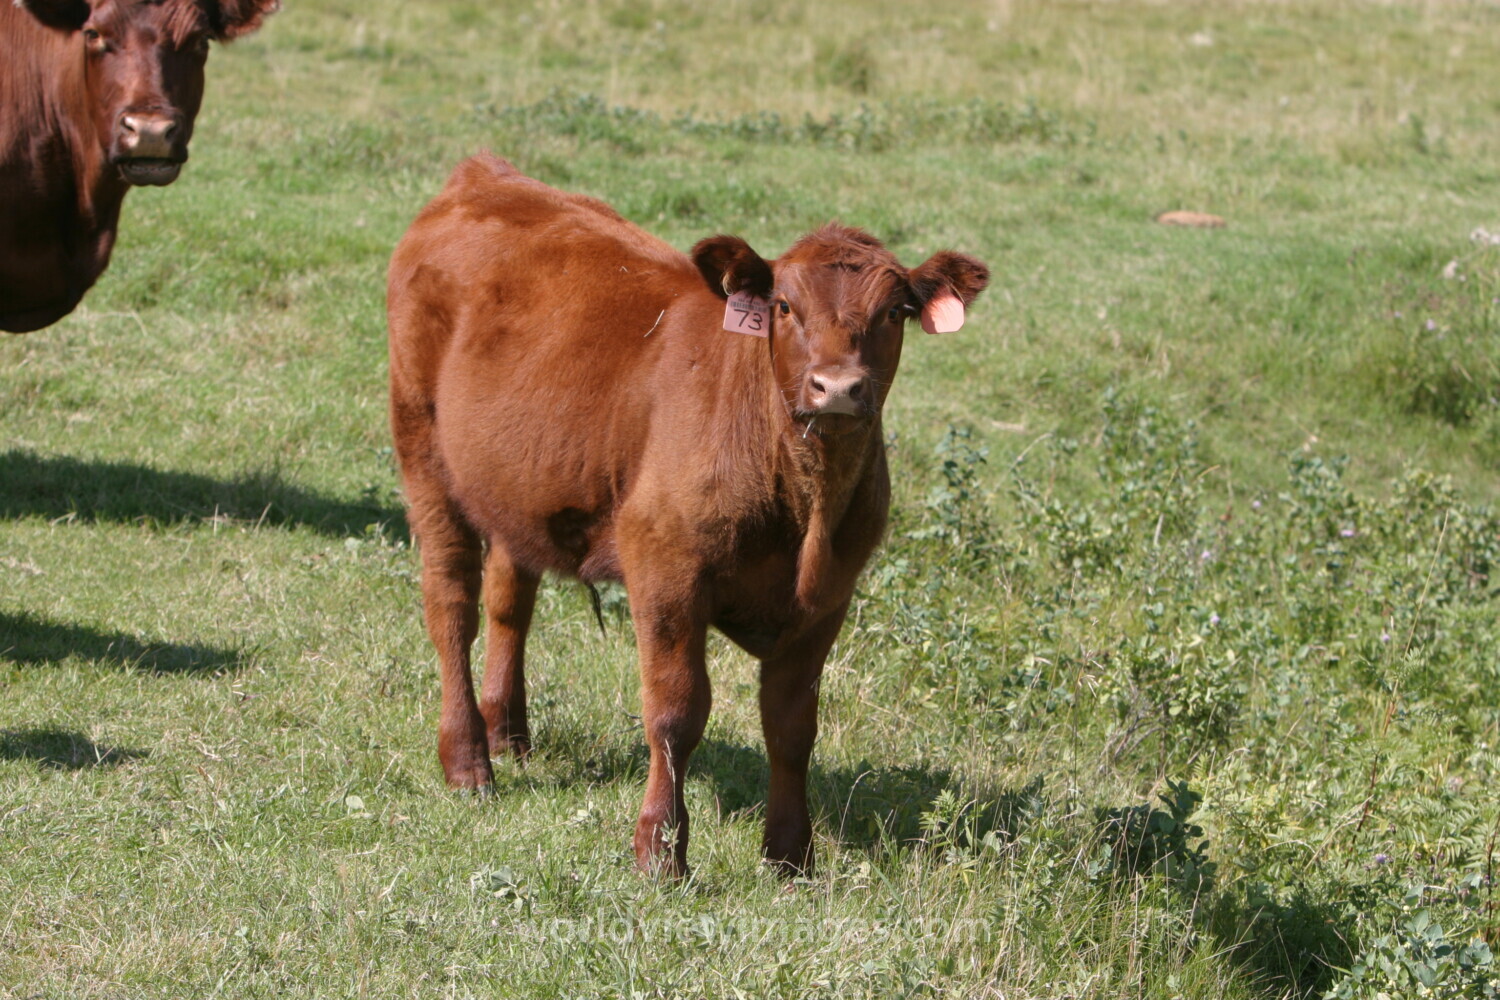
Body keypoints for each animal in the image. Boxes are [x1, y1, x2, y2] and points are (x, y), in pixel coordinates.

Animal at [388, 154, 989, 876]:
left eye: (896, 311)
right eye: (784, 306)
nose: (838, 387)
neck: (805, 505)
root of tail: (485, 175)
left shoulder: (829, 597)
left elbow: (792, 724)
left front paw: (791, 855)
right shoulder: (666, 571)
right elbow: (676, 711)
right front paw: (660, 851)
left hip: (518, 481)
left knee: (511, 598)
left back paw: (509, 732)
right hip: (423, 448)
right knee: (452, 604)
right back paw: (468, 761)